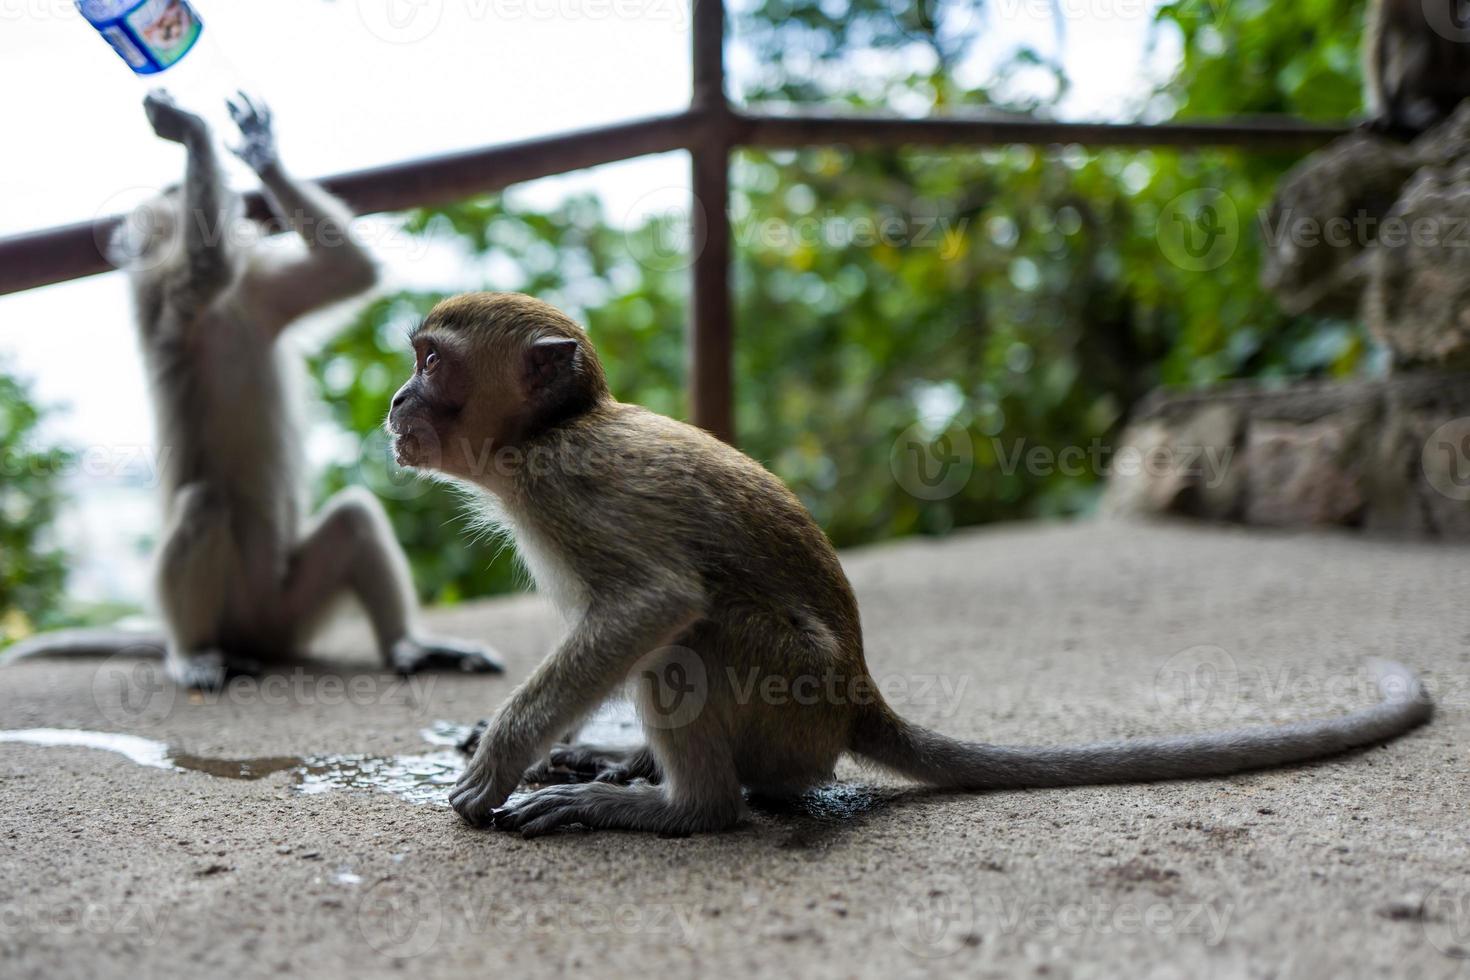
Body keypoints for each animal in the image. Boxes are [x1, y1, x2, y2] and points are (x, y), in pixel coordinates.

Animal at [391, 290, 1434, 834]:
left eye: (432, 363)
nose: (398, 402)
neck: (544, 436)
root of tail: (857, 698)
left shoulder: (570, 485)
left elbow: (656, 602)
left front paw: (498, 763)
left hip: (789, 697)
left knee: (701, 636)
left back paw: (685, 809)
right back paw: (630, 768)